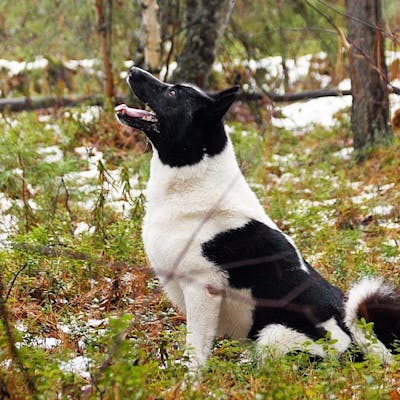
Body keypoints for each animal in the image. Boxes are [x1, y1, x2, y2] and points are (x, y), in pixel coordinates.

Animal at [114, 67, 398, 370]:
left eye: (173, 92)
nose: (132, 69)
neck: (194, 176)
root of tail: (355, 347)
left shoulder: (203, 290)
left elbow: (196, 350)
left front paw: (190, 379)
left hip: (273, 335)